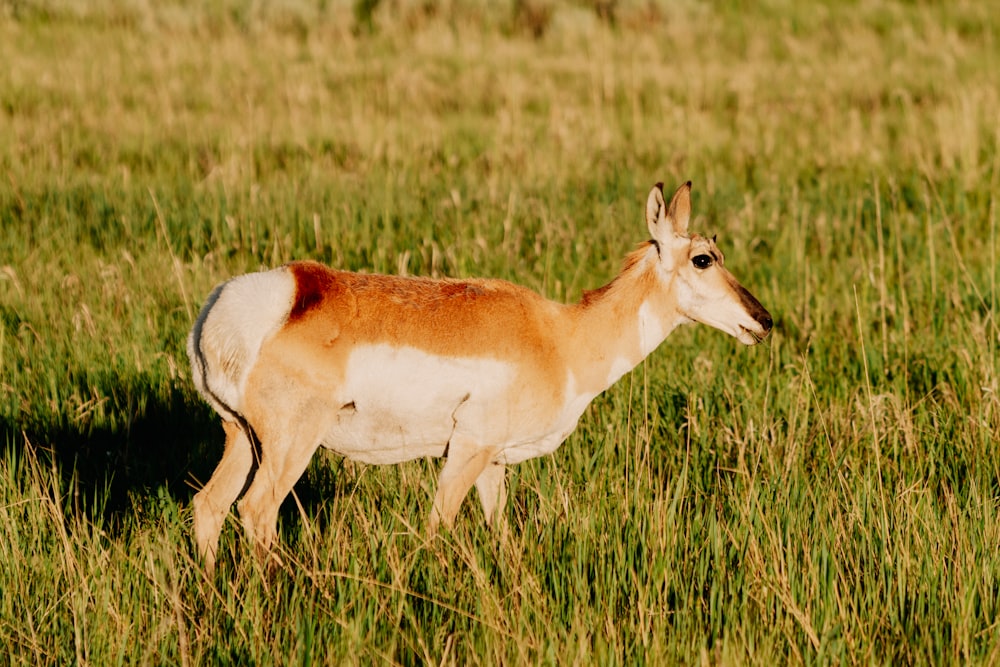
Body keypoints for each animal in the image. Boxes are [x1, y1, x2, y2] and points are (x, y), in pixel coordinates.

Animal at [188, 180, 772, 572]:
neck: (561, 336)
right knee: (256, 511)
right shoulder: (467, 450)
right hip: (291, 445)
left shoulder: (494, 462)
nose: (764, 320)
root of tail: (242, 303)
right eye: (703, 258)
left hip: (241, 438)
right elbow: (436, 526)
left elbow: (501, 532)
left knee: (209, 506)